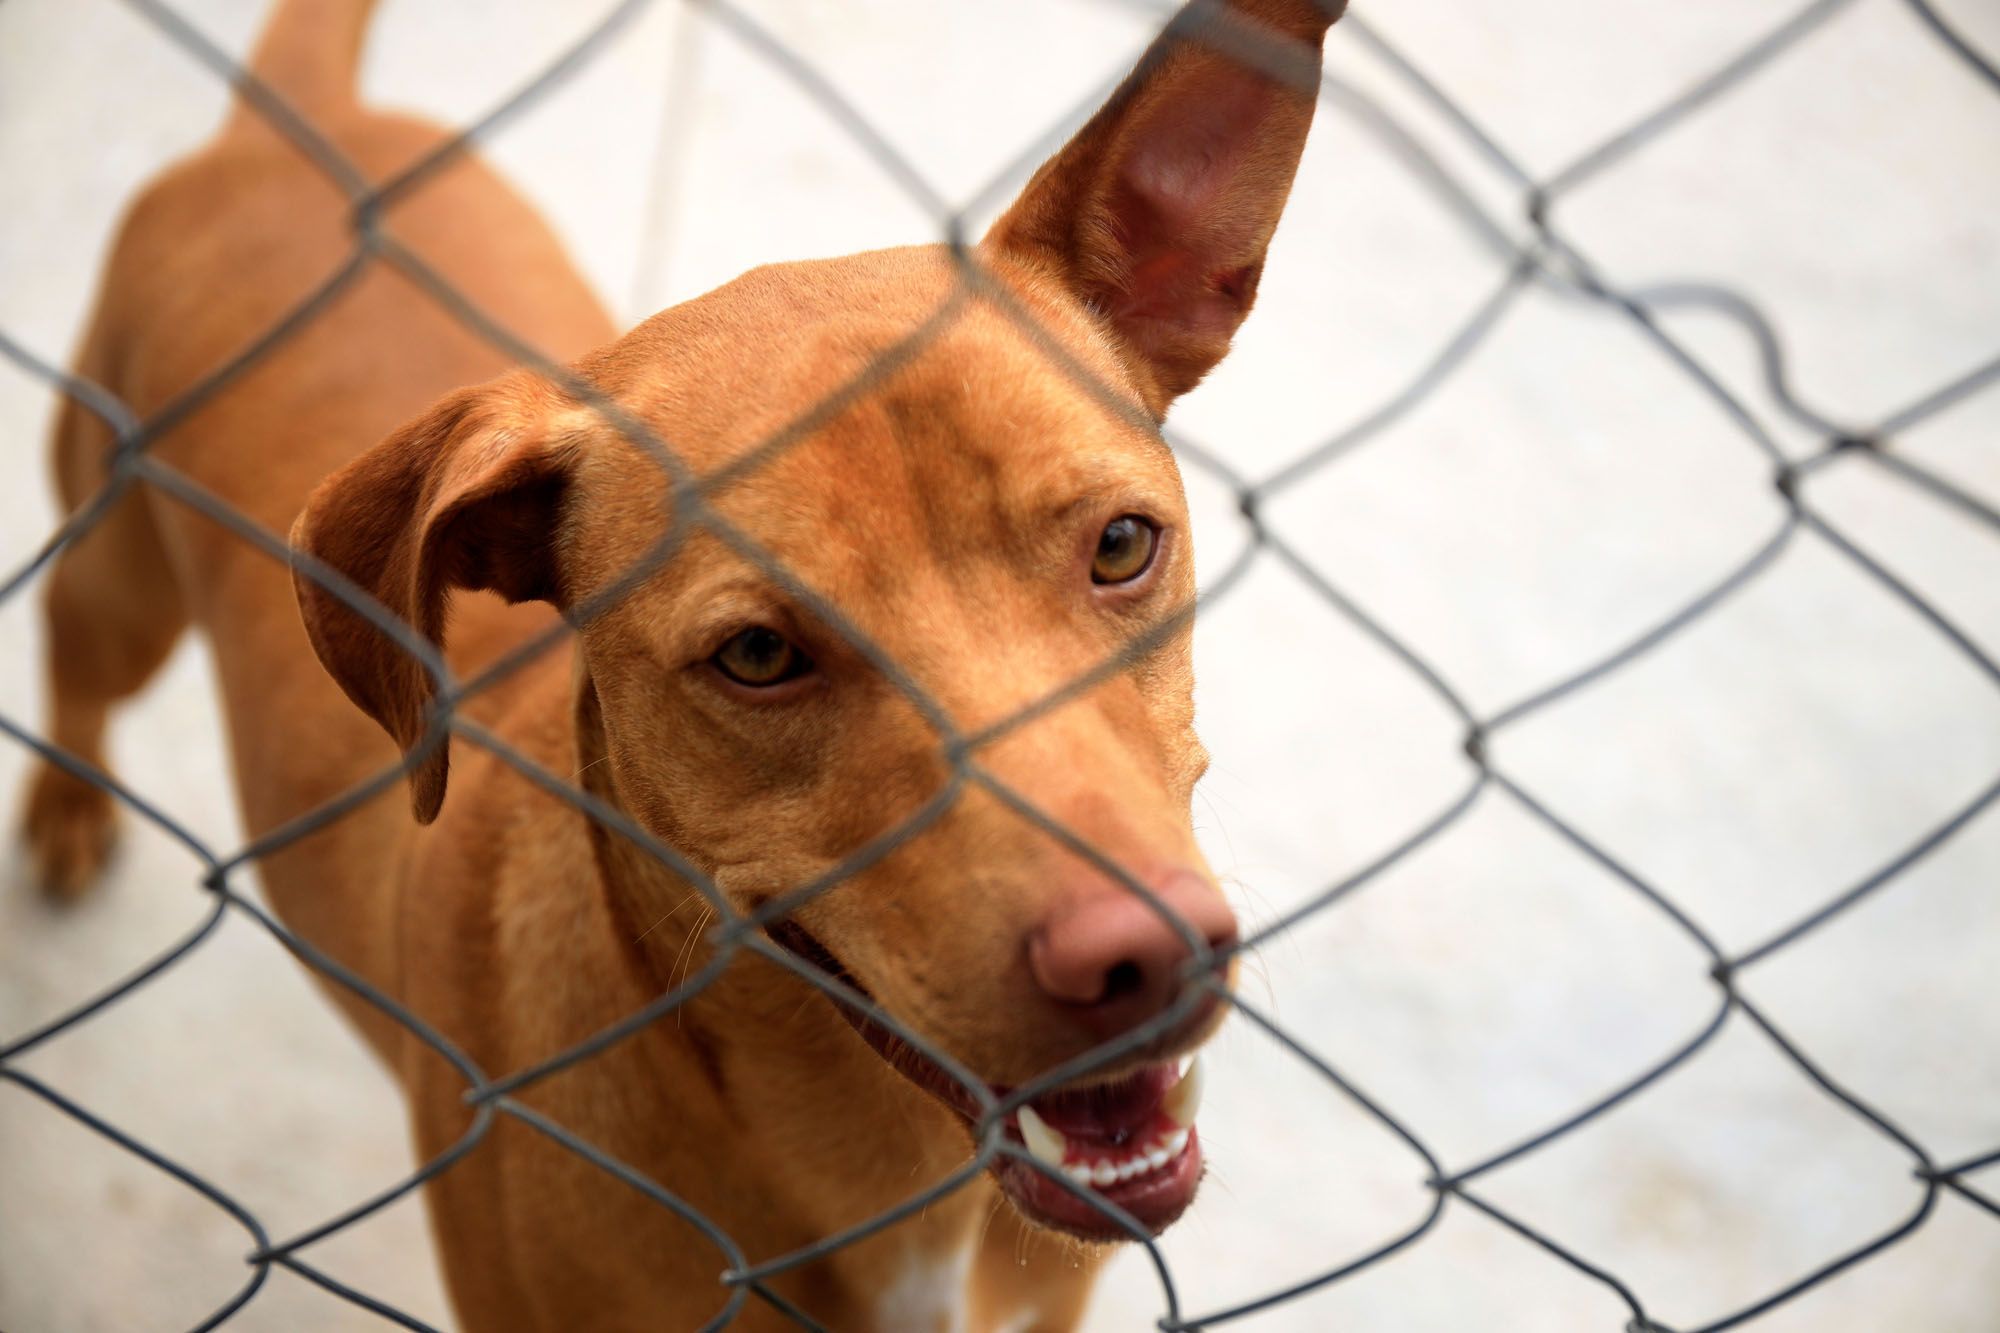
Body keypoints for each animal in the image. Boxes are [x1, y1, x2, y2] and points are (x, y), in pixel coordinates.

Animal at [19, 0, 1344, 1320]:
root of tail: (300, 124)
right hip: (117, 572)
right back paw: (66, 805)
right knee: (75, 664)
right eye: (756, 653)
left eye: (1121, 545)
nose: (1143, 959)